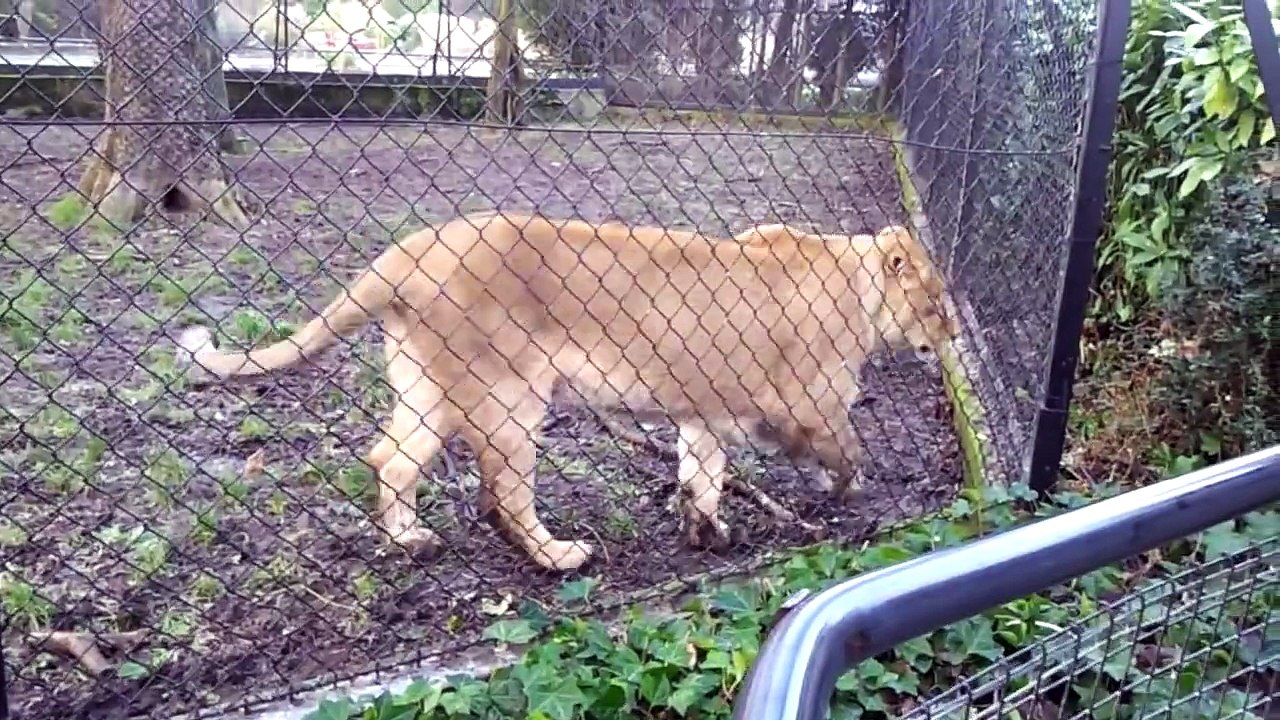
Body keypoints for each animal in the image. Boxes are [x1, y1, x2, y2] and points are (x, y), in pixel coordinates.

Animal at [176, 212, 958, 572]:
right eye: (937, 303)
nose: (951, 334)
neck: (858, 282)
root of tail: (413, 249)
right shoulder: (805, 401)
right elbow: (845, 446)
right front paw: (846, 490)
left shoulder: (705, 408)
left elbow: (701, 472)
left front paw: (703, 529)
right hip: (510, 397)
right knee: (503, 495)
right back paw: (558, 556)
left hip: (430, 387)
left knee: (391, 458)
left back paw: (410, 540)